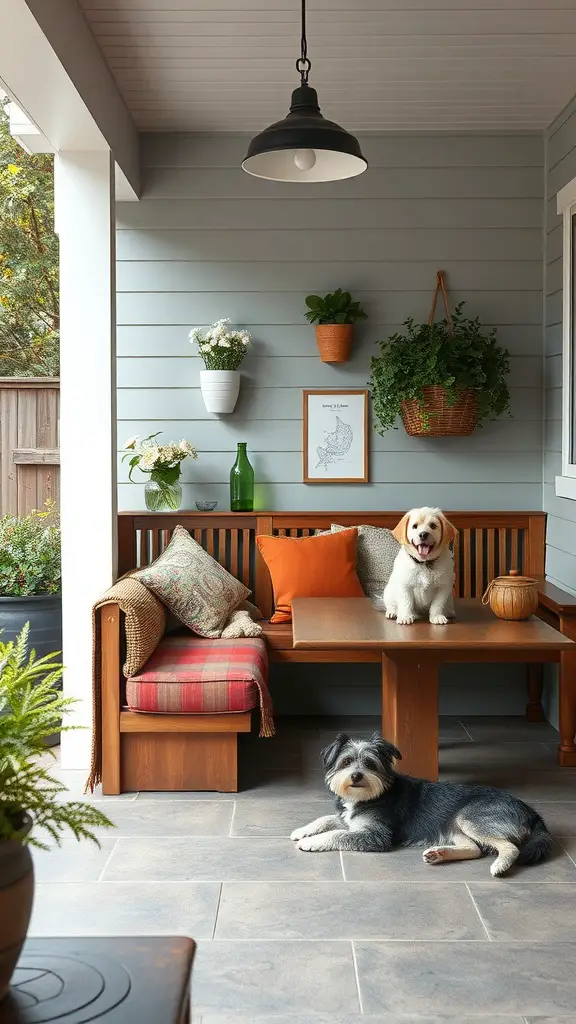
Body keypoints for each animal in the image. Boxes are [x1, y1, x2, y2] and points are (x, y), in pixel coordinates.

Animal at [291, 729, 553, 880]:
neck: (369, 795)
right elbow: (327, 819)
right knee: (475, 849)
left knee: (510, 847)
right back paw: (440, 853)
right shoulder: (348, 820)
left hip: (470, 818)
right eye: (346, 762)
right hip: (453, 826)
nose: (356, 776)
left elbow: (337, 834)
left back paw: (499, 866)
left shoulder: (375, 835)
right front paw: (302, 830)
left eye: (370, 763)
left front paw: (310, 842)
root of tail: (532, 812)